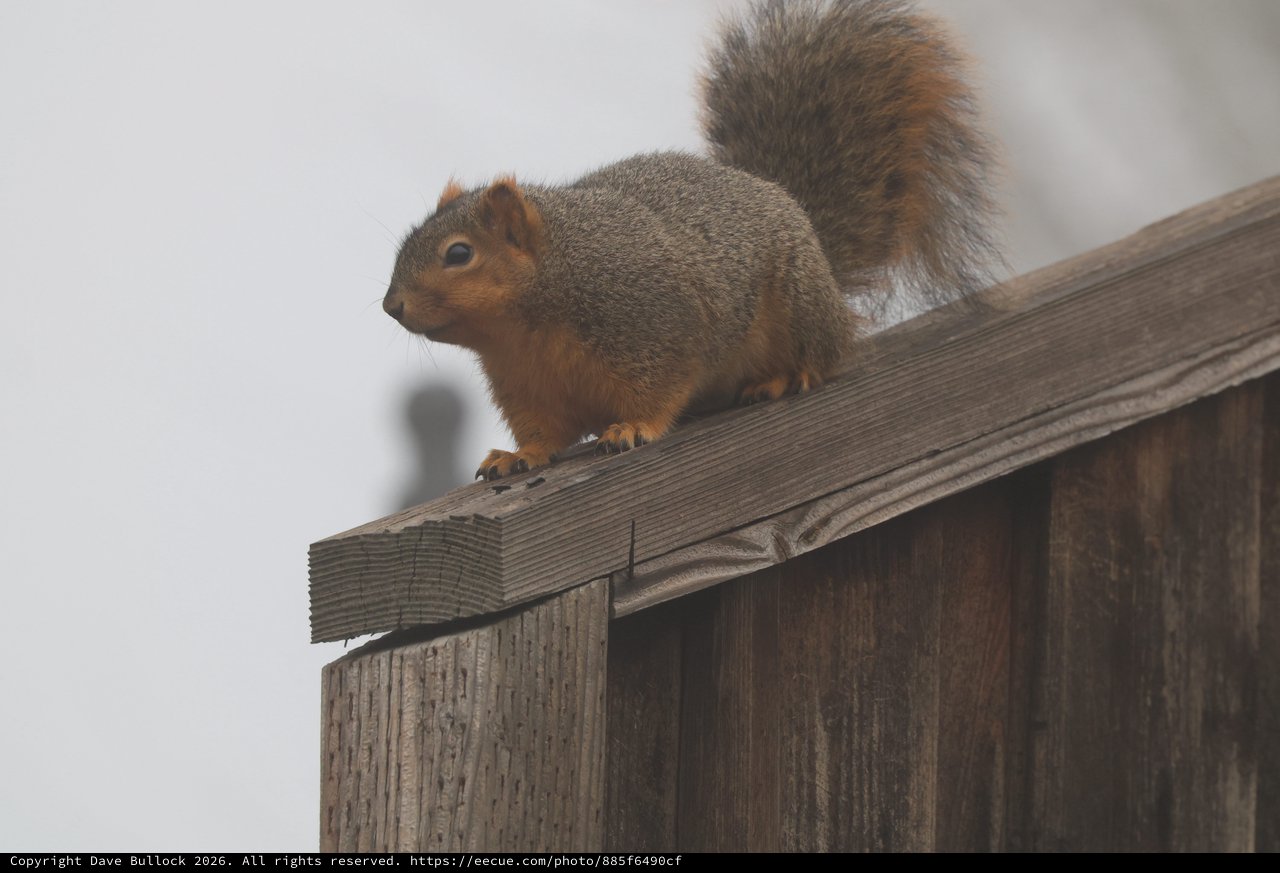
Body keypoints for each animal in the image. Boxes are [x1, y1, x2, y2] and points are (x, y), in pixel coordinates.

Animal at [383, 0, 1000, 480]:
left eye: (459, 254)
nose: (392, 306)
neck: (530, 319)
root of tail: (797, 214)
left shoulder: (658, 327)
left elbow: (661, 389)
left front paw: (632, 427)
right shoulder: (527, 386)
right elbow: (544, 432)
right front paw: (518, 456)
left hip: (799, 306)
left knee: (826, 353)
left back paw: (786, 376)